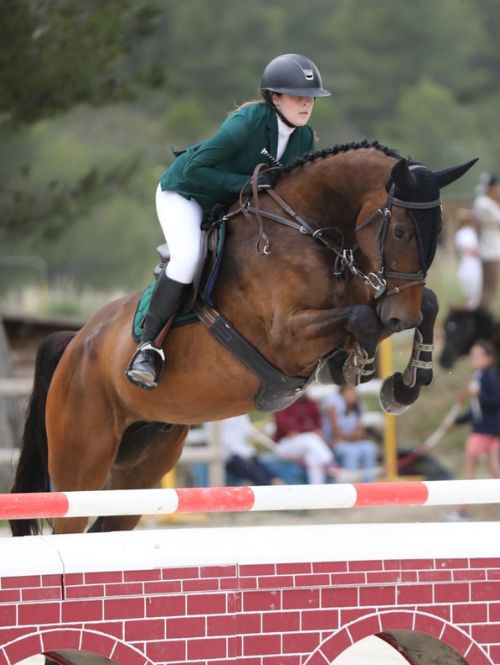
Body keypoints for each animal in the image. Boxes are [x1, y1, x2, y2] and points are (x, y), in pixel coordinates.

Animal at [10, 140, 476, 537]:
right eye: (399, 232)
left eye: (440, 230)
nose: (401, 316)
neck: (308, 230)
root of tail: (75, 343)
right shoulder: (287, 337)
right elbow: (362, 318)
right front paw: (364, 367)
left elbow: (425, 303)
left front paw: (405, 381)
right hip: (81, 461)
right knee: (70, 521)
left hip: (143, 462)